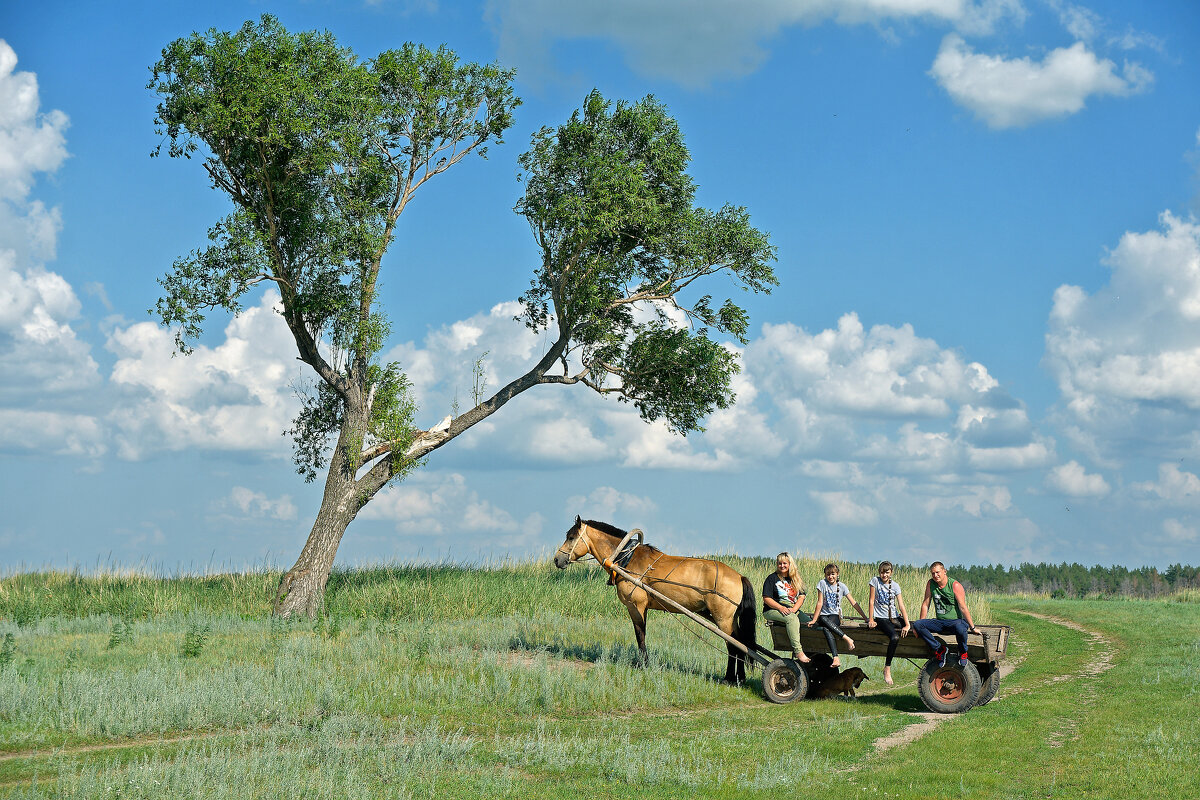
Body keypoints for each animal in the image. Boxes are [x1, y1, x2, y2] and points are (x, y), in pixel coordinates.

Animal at [554, 520, 758, 681]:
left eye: (571, 537)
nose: (557, 559)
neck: (627, 559)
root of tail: (739, 576)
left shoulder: (635, 606)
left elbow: (640, 635)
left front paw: (643, 664)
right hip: (730, 619)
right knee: (742, 644)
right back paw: (740, 678)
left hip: (723, 619)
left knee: (733, 646)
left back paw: (729, 678)